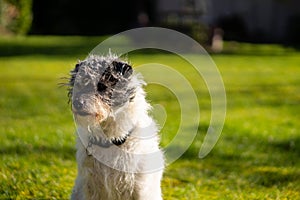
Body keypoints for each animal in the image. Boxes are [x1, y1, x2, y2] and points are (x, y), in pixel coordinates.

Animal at [67, 54, 164, 199]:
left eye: (102, 86)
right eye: (78, 85)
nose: (77, 103)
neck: (111, 140)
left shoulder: (140, 188)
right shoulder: (89, 186)